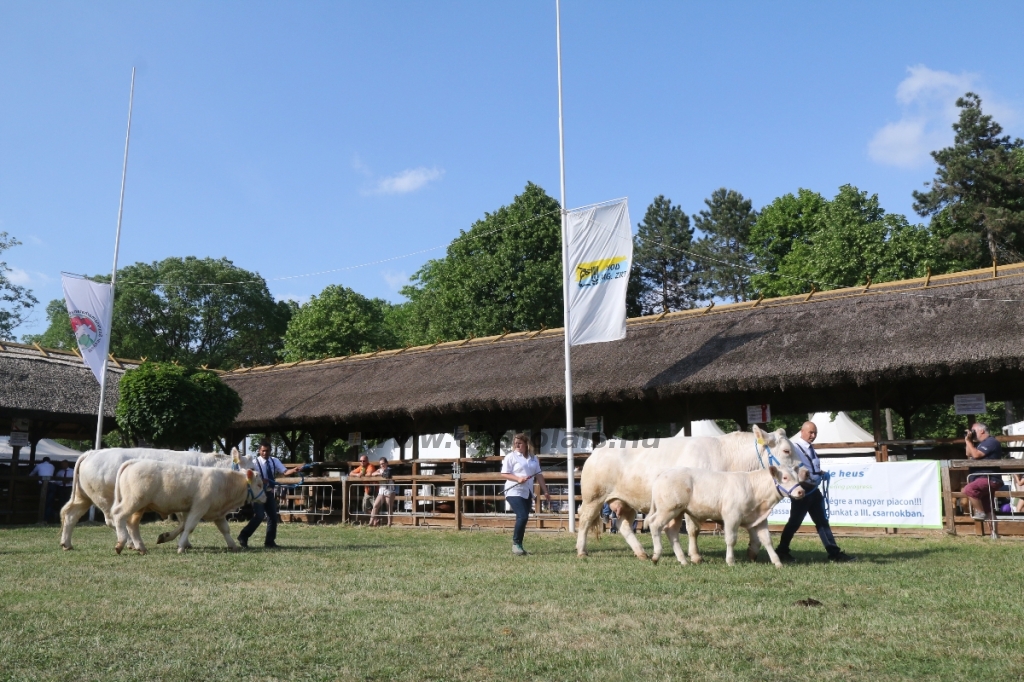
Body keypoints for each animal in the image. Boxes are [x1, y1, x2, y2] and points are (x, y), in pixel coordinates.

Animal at [58, 446, 253, 548]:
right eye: (251, 467)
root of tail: (92, 452)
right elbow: (184, 524)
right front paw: (167, 537)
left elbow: (185, 524)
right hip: (107, 498)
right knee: (114, 519)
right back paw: (130, 542)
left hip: (84, 496)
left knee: (71, 515)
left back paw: (66, 543)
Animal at [573, 425, 802, 557]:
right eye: (786, 450)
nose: (803, 470)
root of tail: (600, 448)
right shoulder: (695, 501)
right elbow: (693, 529)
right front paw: (695, 556)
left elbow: (753, 528)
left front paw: (753, 551)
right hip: (594, 496)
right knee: (584, 520)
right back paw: (582, 551)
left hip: (627, 502)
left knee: (623, 525)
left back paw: (641, 553)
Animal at [647, 464, 806, 565]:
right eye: (784, 478)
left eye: (797, 478)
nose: (801, 492)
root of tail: (662, 475)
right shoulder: (732, 516)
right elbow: (731, 540)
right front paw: (730, 561)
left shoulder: (760, 519)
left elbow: (767, 540)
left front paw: (777, 562)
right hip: (668, 509)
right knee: (655, 524)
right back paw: (656, 556)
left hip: (678, 511)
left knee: (671, 531)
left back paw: (683, 560)